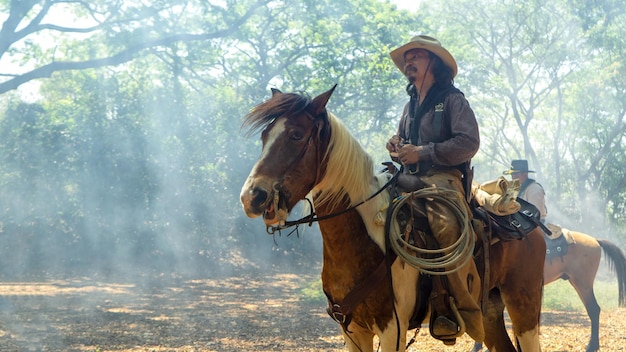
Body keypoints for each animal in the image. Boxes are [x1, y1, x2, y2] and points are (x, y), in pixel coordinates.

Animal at [239, 86, 540, 352]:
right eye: (265, 135)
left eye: (296, 135)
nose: (252, 196)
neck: (363, 236)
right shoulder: (352, 330)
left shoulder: (392, 329)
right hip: (490, 311)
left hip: (523, 306)